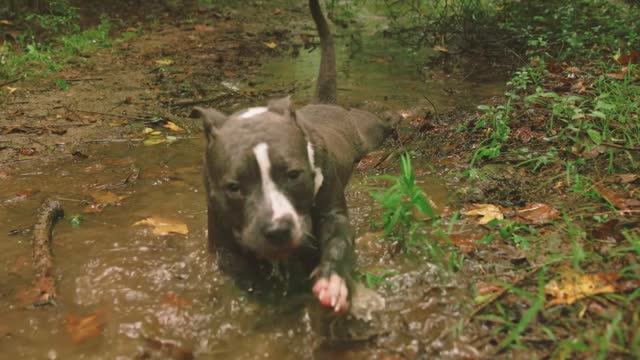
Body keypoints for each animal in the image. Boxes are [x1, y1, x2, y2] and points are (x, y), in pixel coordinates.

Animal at [191, 0, 390, 314]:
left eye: (293, 174)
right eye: (233, 187)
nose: (277, 229)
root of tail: (324, 103)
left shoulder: (333, 212)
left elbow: (339, 241)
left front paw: (334, 281)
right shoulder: (221, 238)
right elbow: (242, 271)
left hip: (368, 129)